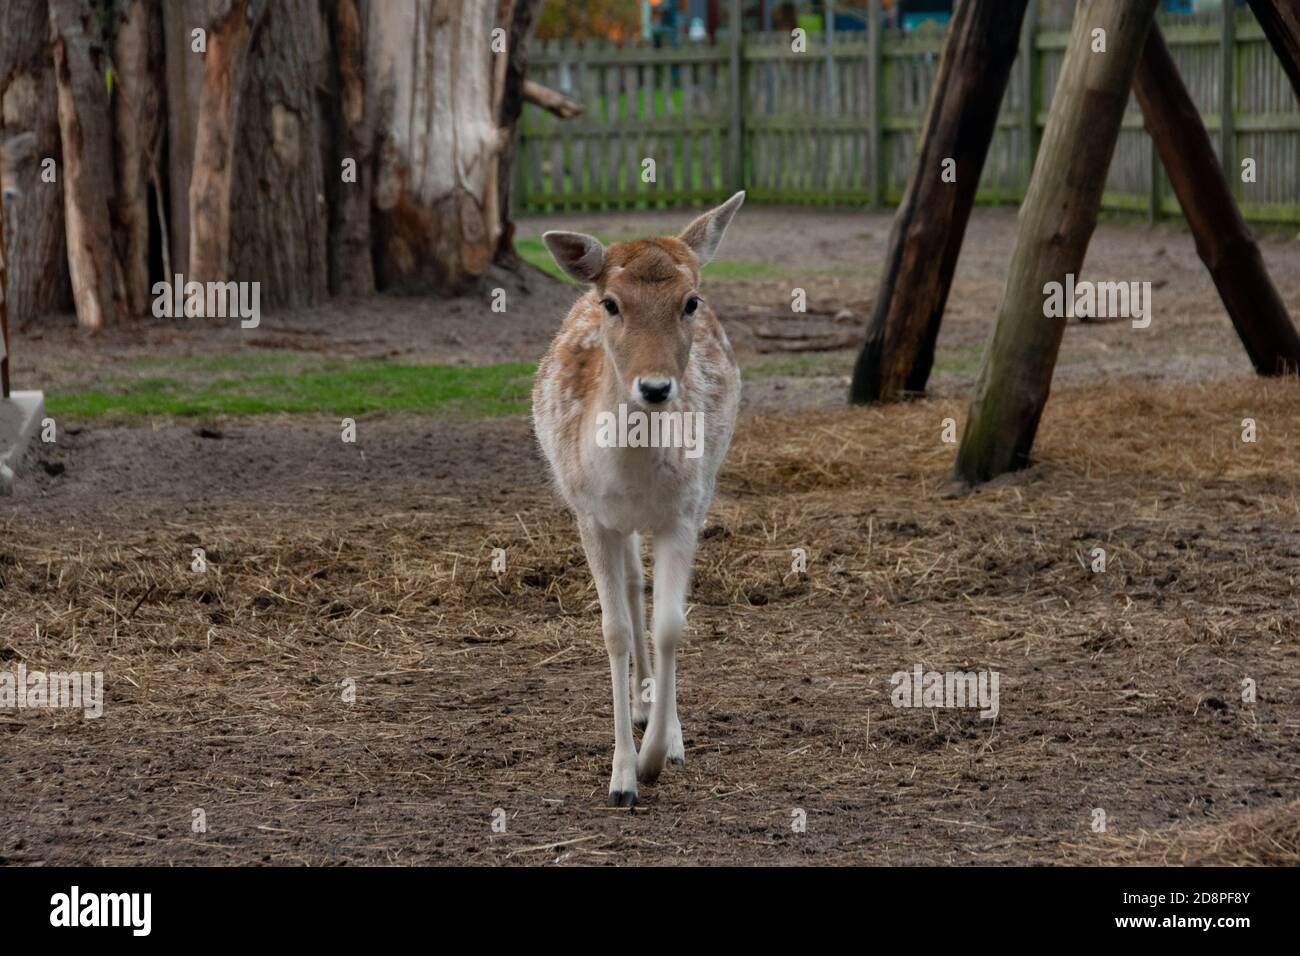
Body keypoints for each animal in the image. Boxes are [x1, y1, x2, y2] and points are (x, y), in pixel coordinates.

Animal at [533, 191, 748, 806]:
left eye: (690, 300)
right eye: (611, 302)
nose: (654, 388)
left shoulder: (683, 513)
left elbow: (670, 624)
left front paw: (660, 753)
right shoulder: (590, 515)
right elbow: (615, 630)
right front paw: (622, 778)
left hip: (702, 489)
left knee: (646, 597)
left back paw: (660, 718)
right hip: (616, 522)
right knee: (631, 590)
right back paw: (641, 704)